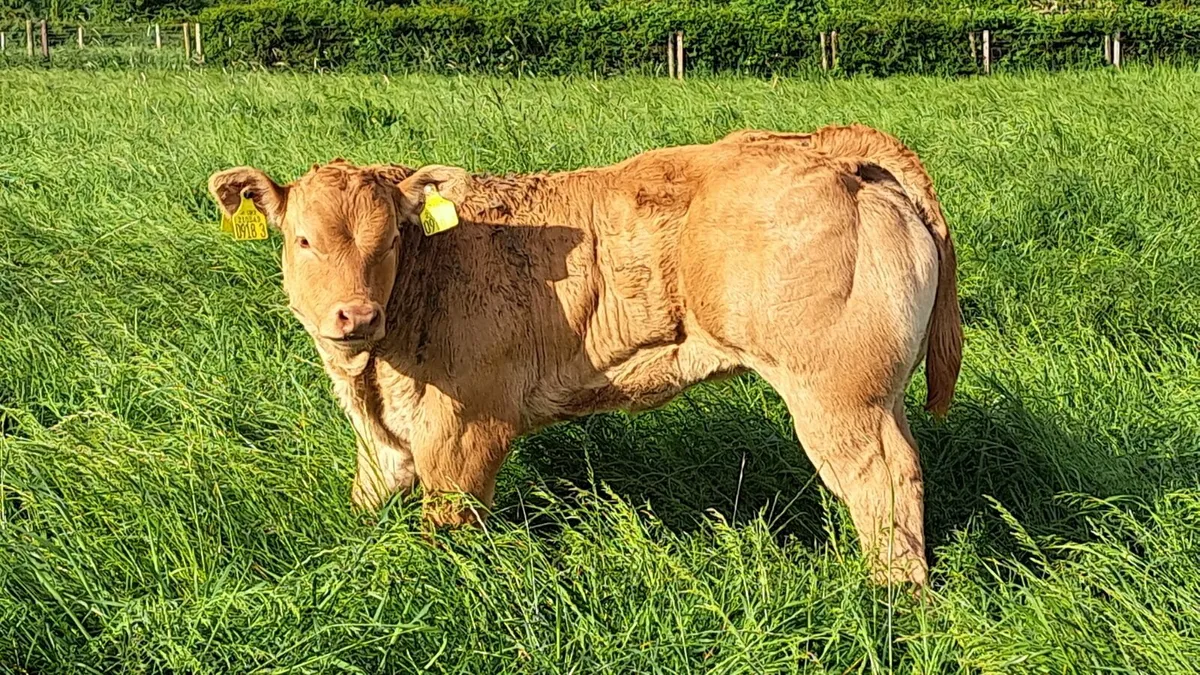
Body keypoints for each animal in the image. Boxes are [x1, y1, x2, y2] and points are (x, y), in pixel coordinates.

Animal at [208, 124, 962, 585]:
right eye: (303, 239)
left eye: (391, 237)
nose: (356, 314)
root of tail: (829, 147)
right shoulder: (385, 441)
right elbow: (367, 503)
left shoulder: (465, 430)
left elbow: (445, 529)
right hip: (878, 394)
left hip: (838, 395)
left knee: (885, 484)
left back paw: (891, 602)